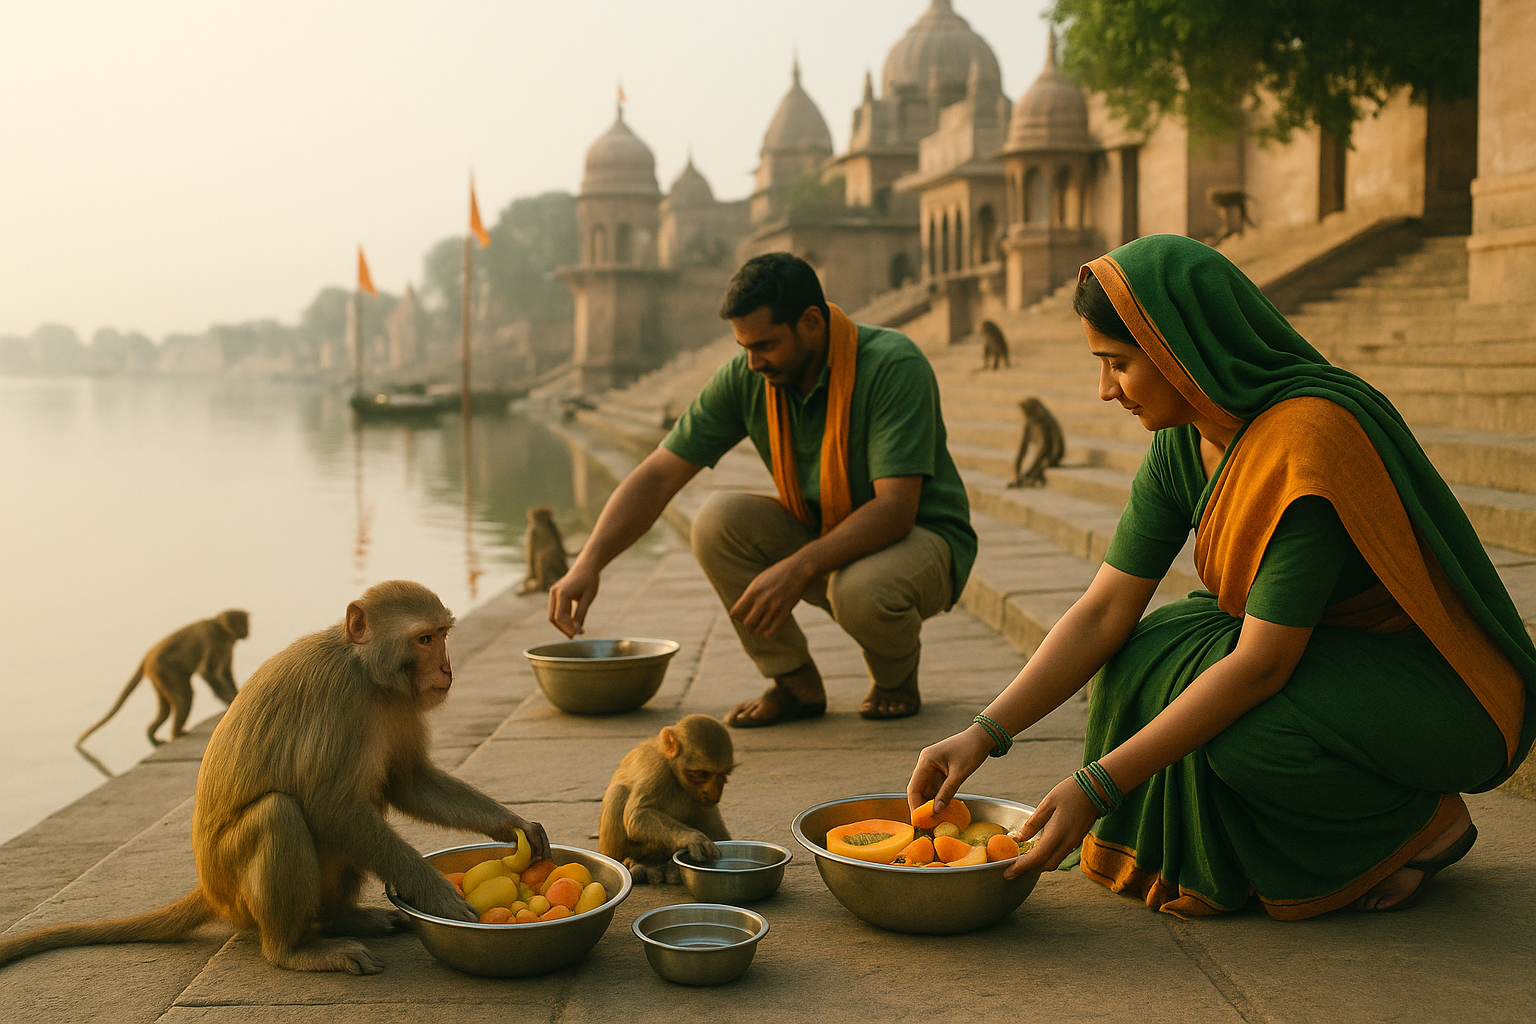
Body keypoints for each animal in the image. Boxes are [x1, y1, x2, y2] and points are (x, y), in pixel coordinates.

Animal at [77, 610, 250, 749]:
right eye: (244, 622)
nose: (248, 629)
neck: (221, 628)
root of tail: (148, 655)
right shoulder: (212, 637)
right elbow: (206, 672)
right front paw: (229, 701)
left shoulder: (227, 646)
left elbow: (225, 672)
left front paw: (234, 697)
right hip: (163, 669)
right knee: (185, 696)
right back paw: (177, 733)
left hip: (158, 678)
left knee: (166, 709)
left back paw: (153, 735)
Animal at [598, 715, 734, 885]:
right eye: (700, 774)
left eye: (723, 774)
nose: (712, 792)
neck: (673, 772)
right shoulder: (657, 767)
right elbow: (638, 814)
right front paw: (694, 838)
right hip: (613, 851)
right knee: (618, 792)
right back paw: (639, 863)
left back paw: (670, 868)